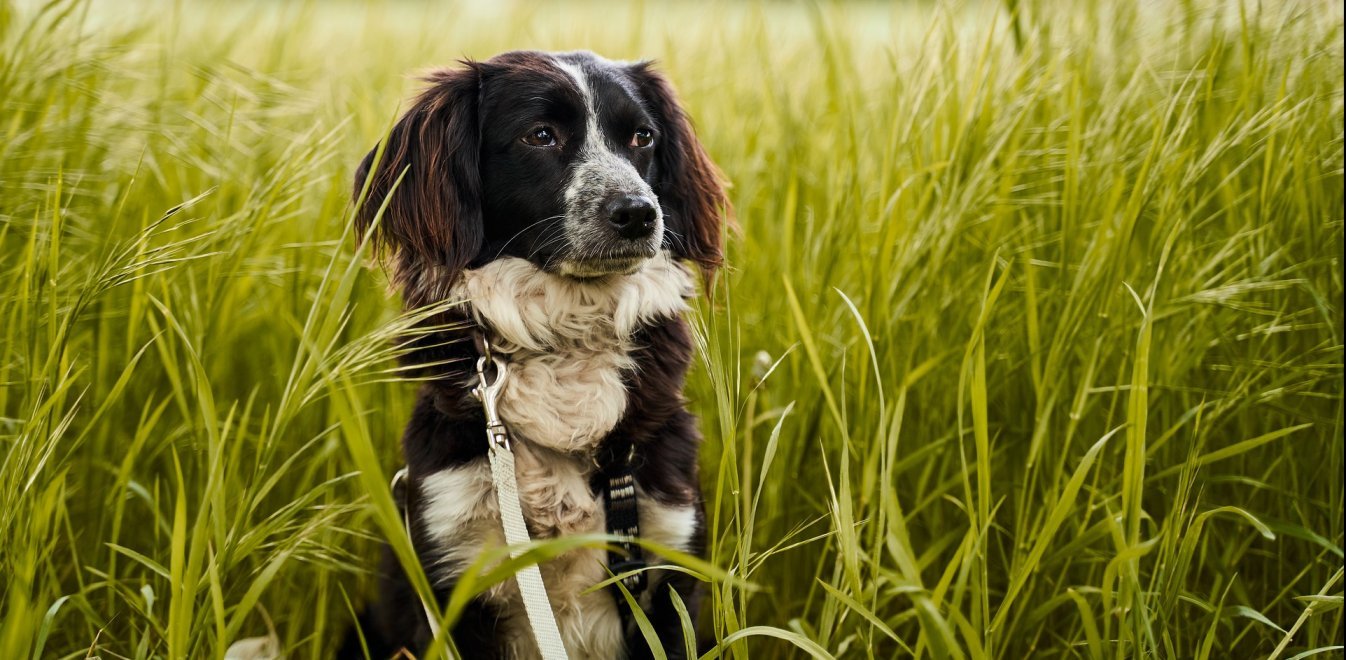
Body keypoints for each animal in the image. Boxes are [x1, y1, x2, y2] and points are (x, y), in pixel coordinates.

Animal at [341, 48, 732, 657]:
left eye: (642, 137)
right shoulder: (455, 573)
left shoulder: (666, 566)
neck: (567, 337)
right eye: (540, 135)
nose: (639, 212)